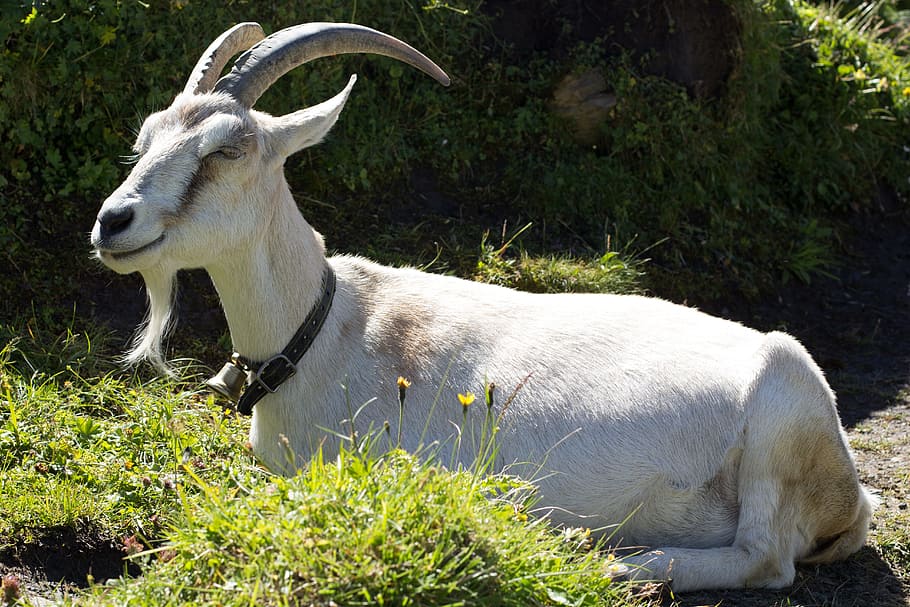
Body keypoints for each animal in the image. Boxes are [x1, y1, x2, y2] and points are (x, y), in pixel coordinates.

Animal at [91, 21, 876, 592]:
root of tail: (852, 494)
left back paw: (619, 560)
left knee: (764, 559)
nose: (113, 221)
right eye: (147, 136)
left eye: (228, 148)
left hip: (781, 408)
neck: (327, 330)